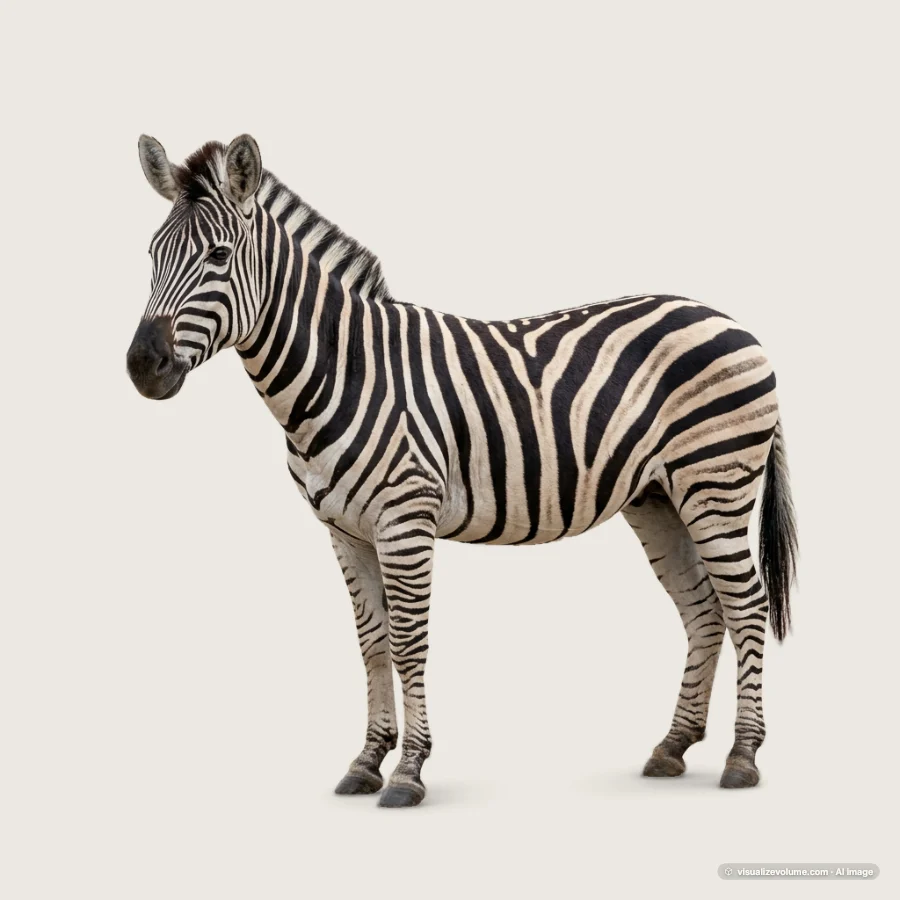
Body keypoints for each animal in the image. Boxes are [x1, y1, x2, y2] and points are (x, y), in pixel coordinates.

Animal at [127, 134, 798, 808]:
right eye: (152, 254)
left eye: (218, 255)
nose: (141, 366)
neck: (343, 370)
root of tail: (728, 319)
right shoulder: (344, 531)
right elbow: (371, 643)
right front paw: (367, 760)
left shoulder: (405, 521)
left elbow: (407, 642)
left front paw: (408, 771)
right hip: (659, 498)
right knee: (703, 609)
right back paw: (673, 746)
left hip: (716, 483)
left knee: (746, 605)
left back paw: (742, 756)